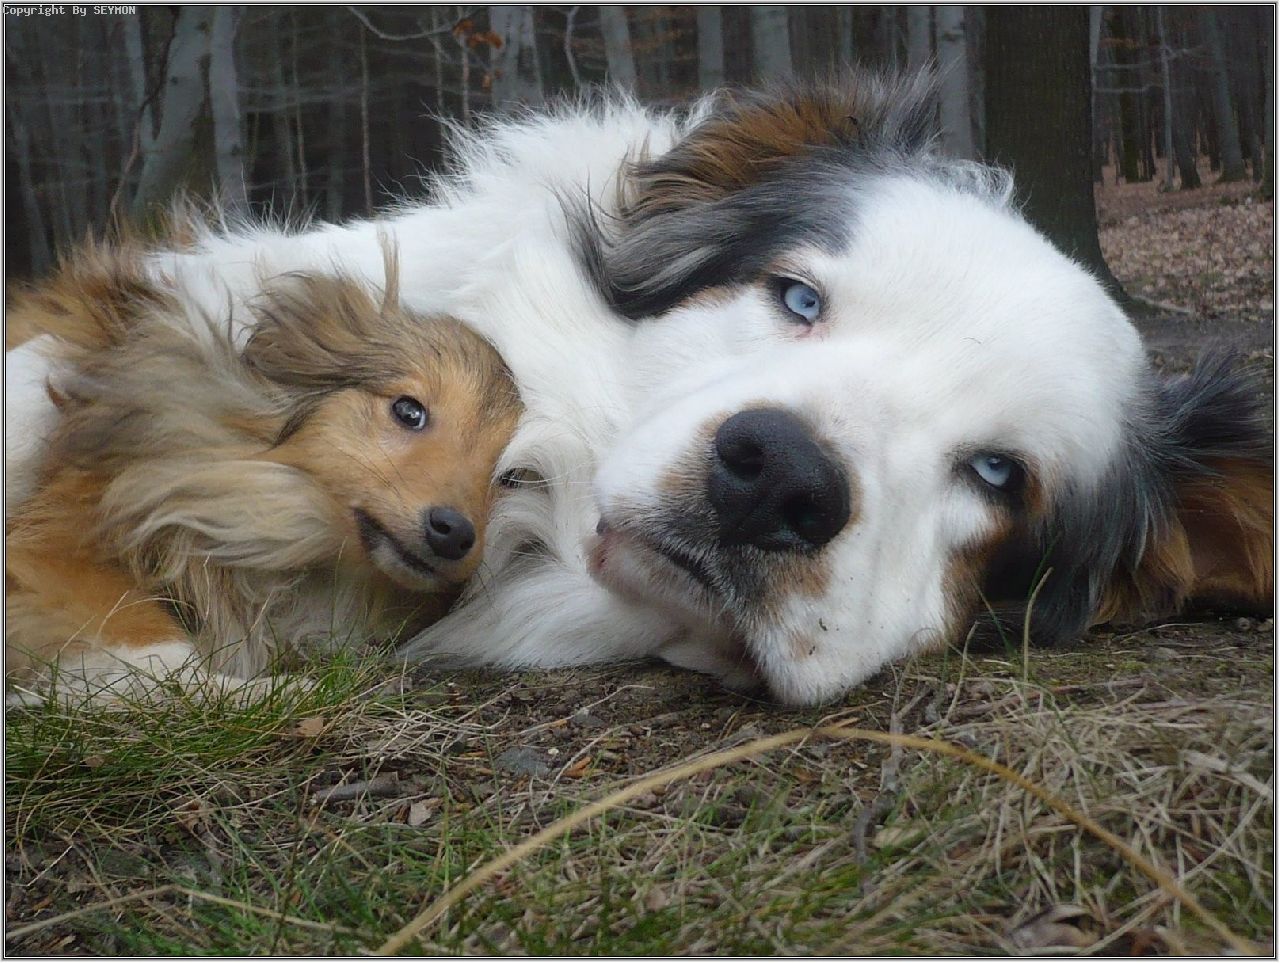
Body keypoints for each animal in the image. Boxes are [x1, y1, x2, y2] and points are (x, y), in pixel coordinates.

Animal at [5, 241, 521, 701]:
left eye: (509, 476)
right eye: (408, 410)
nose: (453, 533)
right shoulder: (57, 548)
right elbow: (156, 649)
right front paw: (271, 692)